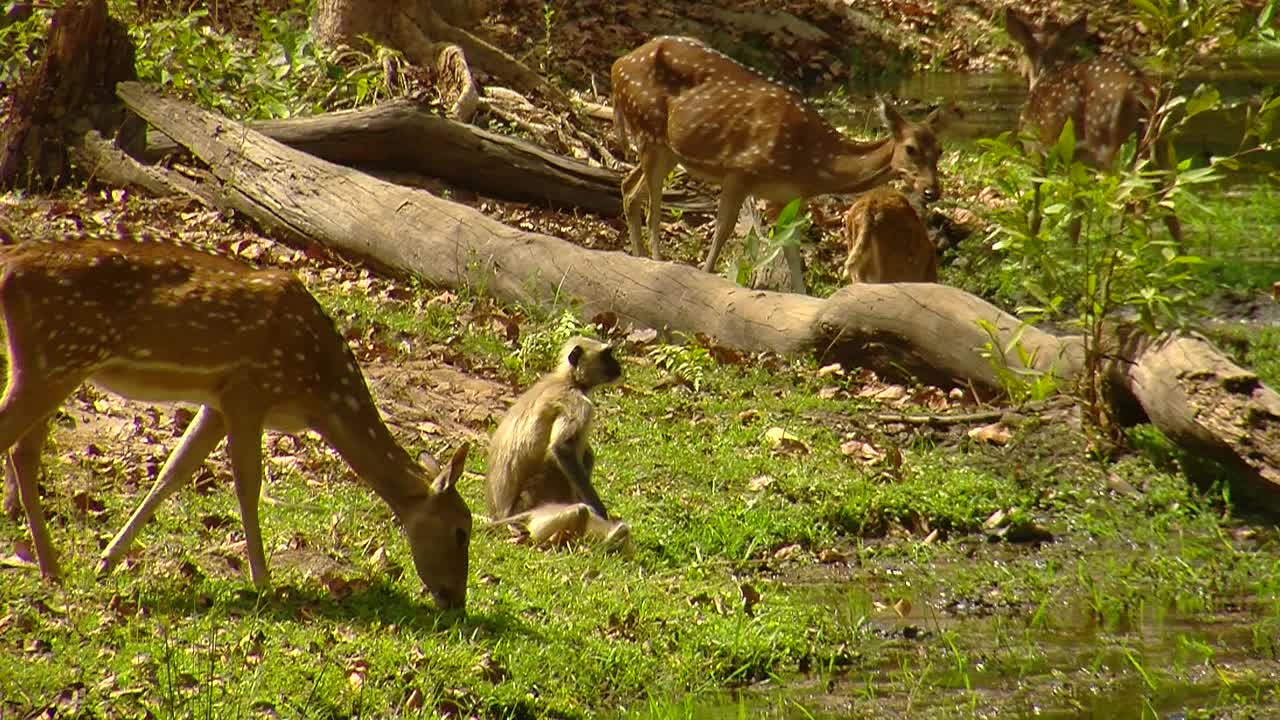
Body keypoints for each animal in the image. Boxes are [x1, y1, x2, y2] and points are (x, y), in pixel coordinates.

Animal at [0, 238, 476, 607]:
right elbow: (248, 483)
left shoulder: (218, 401)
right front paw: (263, 580)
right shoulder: (251, 390)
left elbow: (173, 472)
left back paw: (51, 565)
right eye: (462, 531)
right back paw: (49, 565)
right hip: (57, 359)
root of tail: (9, 266)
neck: (316, 391)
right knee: (17, 441)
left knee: (25, 449)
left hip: (53, 365)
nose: (455, 600)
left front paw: (107, 561)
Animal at [611, 34, 962, 288]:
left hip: (666, 149)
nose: (932, 190)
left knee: (629, 188)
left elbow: (792, 247)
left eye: (940, 151)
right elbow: (723, 230)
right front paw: (707, 277)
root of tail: (618, 64)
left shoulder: (787, 195)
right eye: (910, 148)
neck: (810, 161)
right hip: (649, 130)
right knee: (652, 203)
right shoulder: (739, 170)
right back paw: (655, 262)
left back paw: (639, 259)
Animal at [1003, 7, 1182, 249]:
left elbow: (1036, 211)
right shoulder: (1078, 164)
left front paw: (1032, 248)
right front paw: (1073, 255)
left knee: (1128, 199)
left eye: (1022, 49)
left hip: (1106, 142)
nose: (1019, 68)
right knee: (1168, 205)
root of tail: (1138, 87)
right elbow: (1075, 219)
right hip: (1157, 144)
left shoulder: (1035, 150)